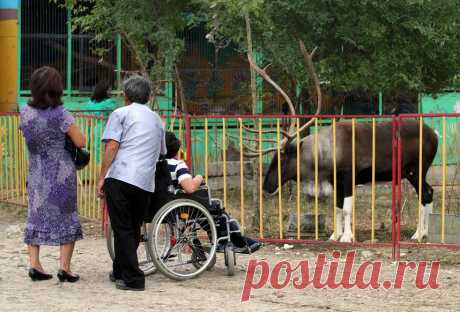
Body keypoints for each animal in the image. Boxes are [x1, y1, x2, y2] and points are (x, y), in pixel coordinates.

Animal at [241, 20, 438, 243]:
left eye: (282, 159)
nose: (266, 186)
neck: (323, 156)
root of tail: (435, 134)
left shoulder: (349, 176)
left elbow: (346, 209)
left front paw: (347, 237)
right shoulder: (335, 181)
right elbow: (336, 208)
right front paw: (334, 235)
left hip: (417, 168)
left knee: (426, 194)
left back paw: (418, 234)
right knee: (429, 193)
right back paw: (424, 233)